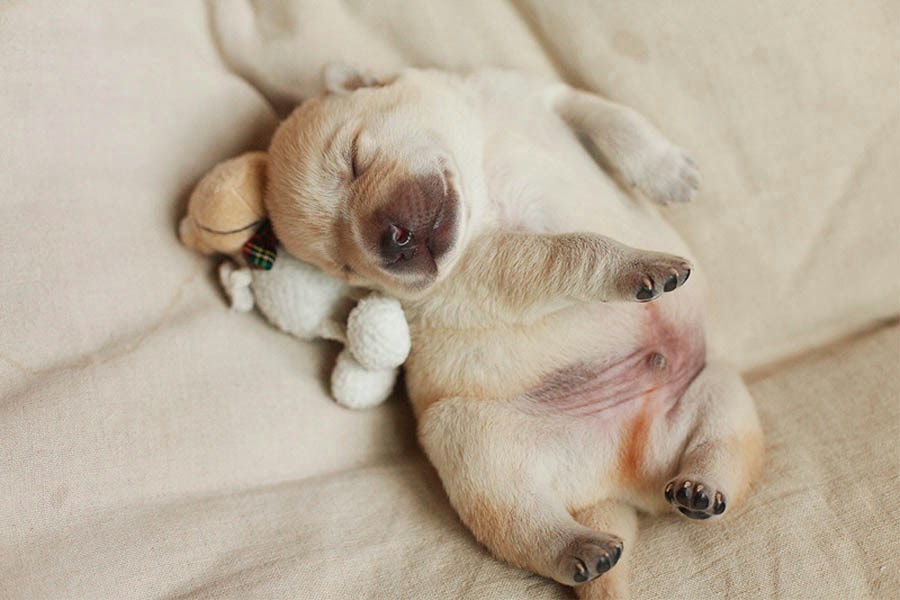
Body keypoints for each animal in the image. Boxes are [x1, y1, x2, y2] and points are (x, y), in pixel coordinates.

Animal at [238, 64, 763, 598]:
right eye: (344, 266)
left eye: (355, 160)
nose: (390, 243)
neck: (480, 168)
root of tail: (617, 482)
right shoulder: (488, 265)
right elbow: (565, 251)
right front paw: (631, 263)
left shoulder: (528, 90)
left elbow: (607, 115)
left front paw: (667, 171)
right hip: (466, 438)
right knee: (515, 515)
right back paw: (578, 548)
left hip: (713, 386)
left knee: (722, 443)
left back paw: (700, 488)